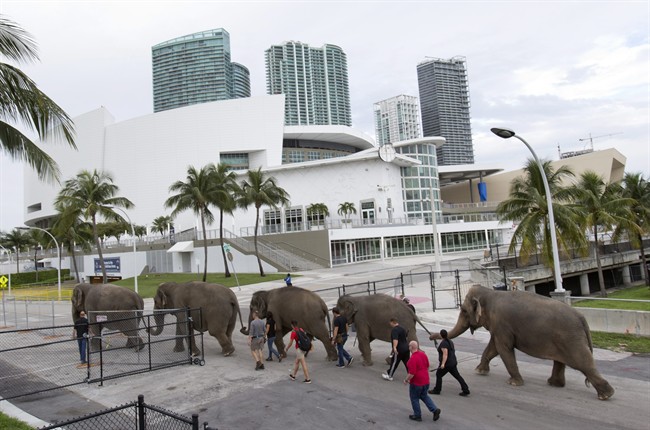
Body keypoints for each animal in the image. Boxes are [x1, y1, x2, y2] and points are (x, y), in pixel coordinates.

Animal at [430, 285, 615, 400]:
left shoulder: (501, 324)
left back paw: (606, 395)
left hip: (571, 339)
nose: (432, 337)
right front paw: (479, 371)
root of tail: (581, 317)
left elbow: (502, 348)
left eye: (463, 310)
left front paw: (514, 383)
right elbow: (492, 348)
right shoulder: (499, 327)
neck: (490, 293)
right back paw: (554, 384)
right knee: (560, 361)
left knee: (583, 362)